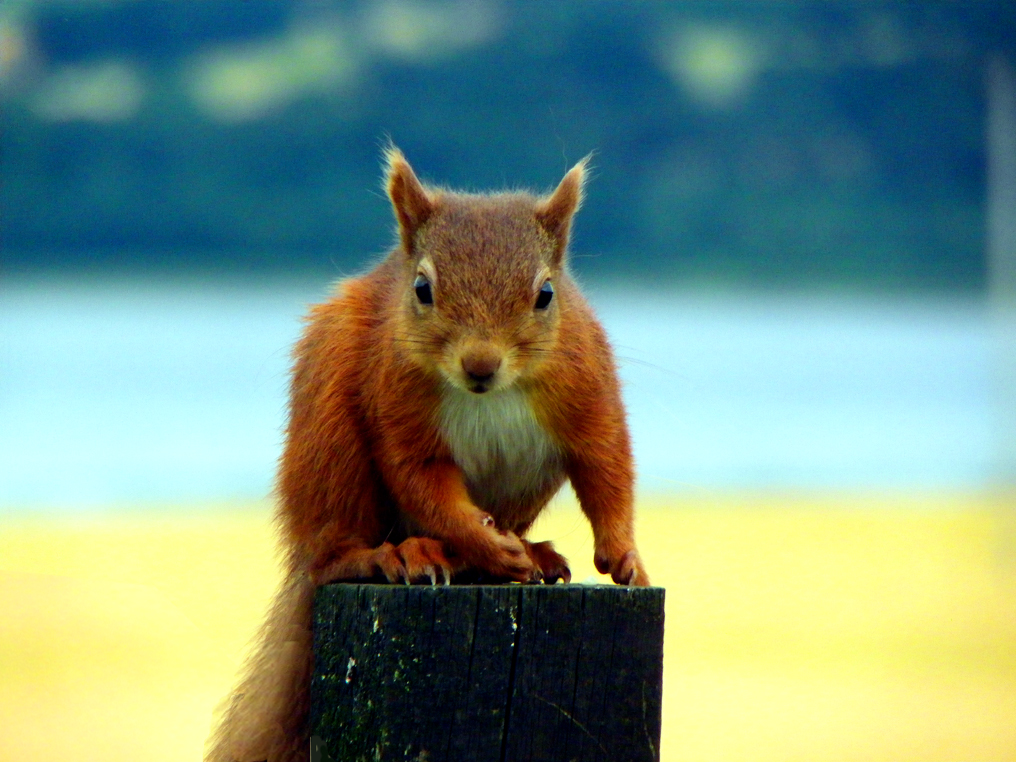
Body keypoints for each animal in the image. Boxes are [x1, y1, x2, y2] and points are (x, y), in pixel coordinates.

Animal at [205, 147, 649, 762]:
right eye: (421, 289)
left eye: (546, 294)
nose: (480, 364)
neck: (491, 395)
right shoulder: (398, 411)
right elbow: (423, 483)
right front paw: (484, 542)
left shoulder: (588, 391)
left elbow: (608, 466)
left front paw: (624, 556)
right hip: (329, 445)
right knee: (330, 553)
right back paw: (399, 554)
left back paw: (526, 556)